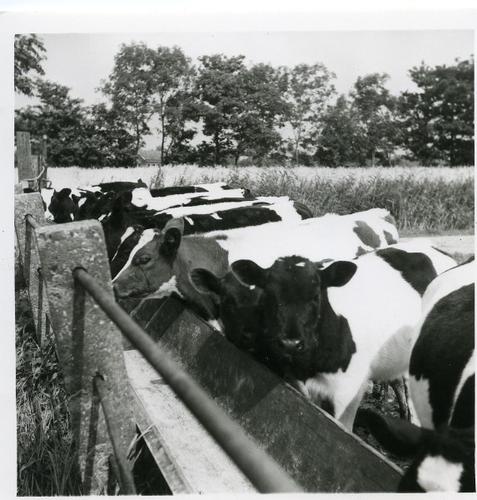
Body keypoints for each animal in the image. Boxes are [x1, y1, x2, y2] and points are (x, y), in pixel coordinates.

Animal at [225, 241, 456, 430]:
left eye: (316, 296)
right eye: (269, 295)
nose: (291, 343)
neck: (311, 364)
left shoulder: (349, 389)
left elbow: (342, 429)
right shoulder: (296, 380)